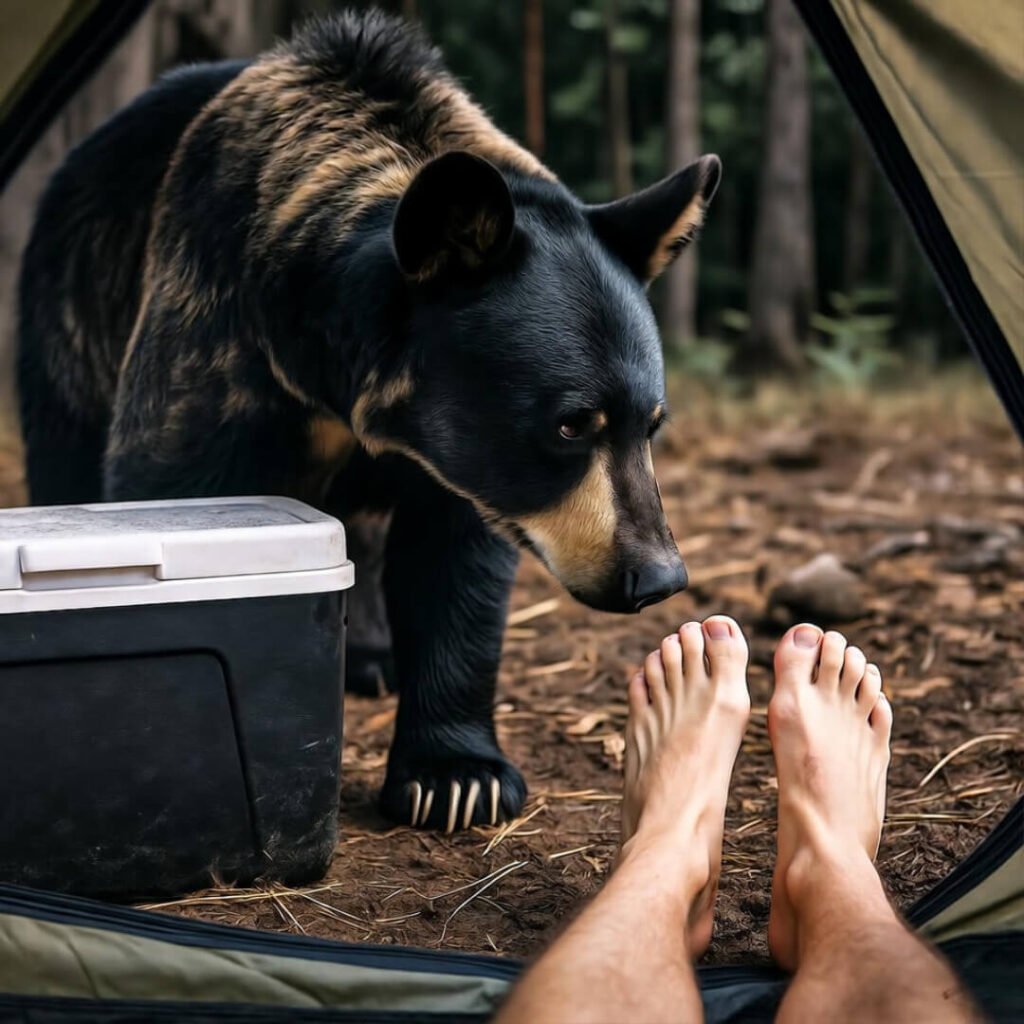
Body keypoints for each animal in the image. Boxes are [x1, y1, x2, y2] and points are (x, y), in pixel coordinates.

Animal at [18, 10, 721, 832]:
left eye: (652, 422)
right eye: (572, 425)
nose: (658, 576)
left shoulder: (462, 465)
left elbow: (458, 571)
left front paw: (457, 776)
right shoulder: (216, 334)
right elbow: (169, 483)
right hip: (70, 308)